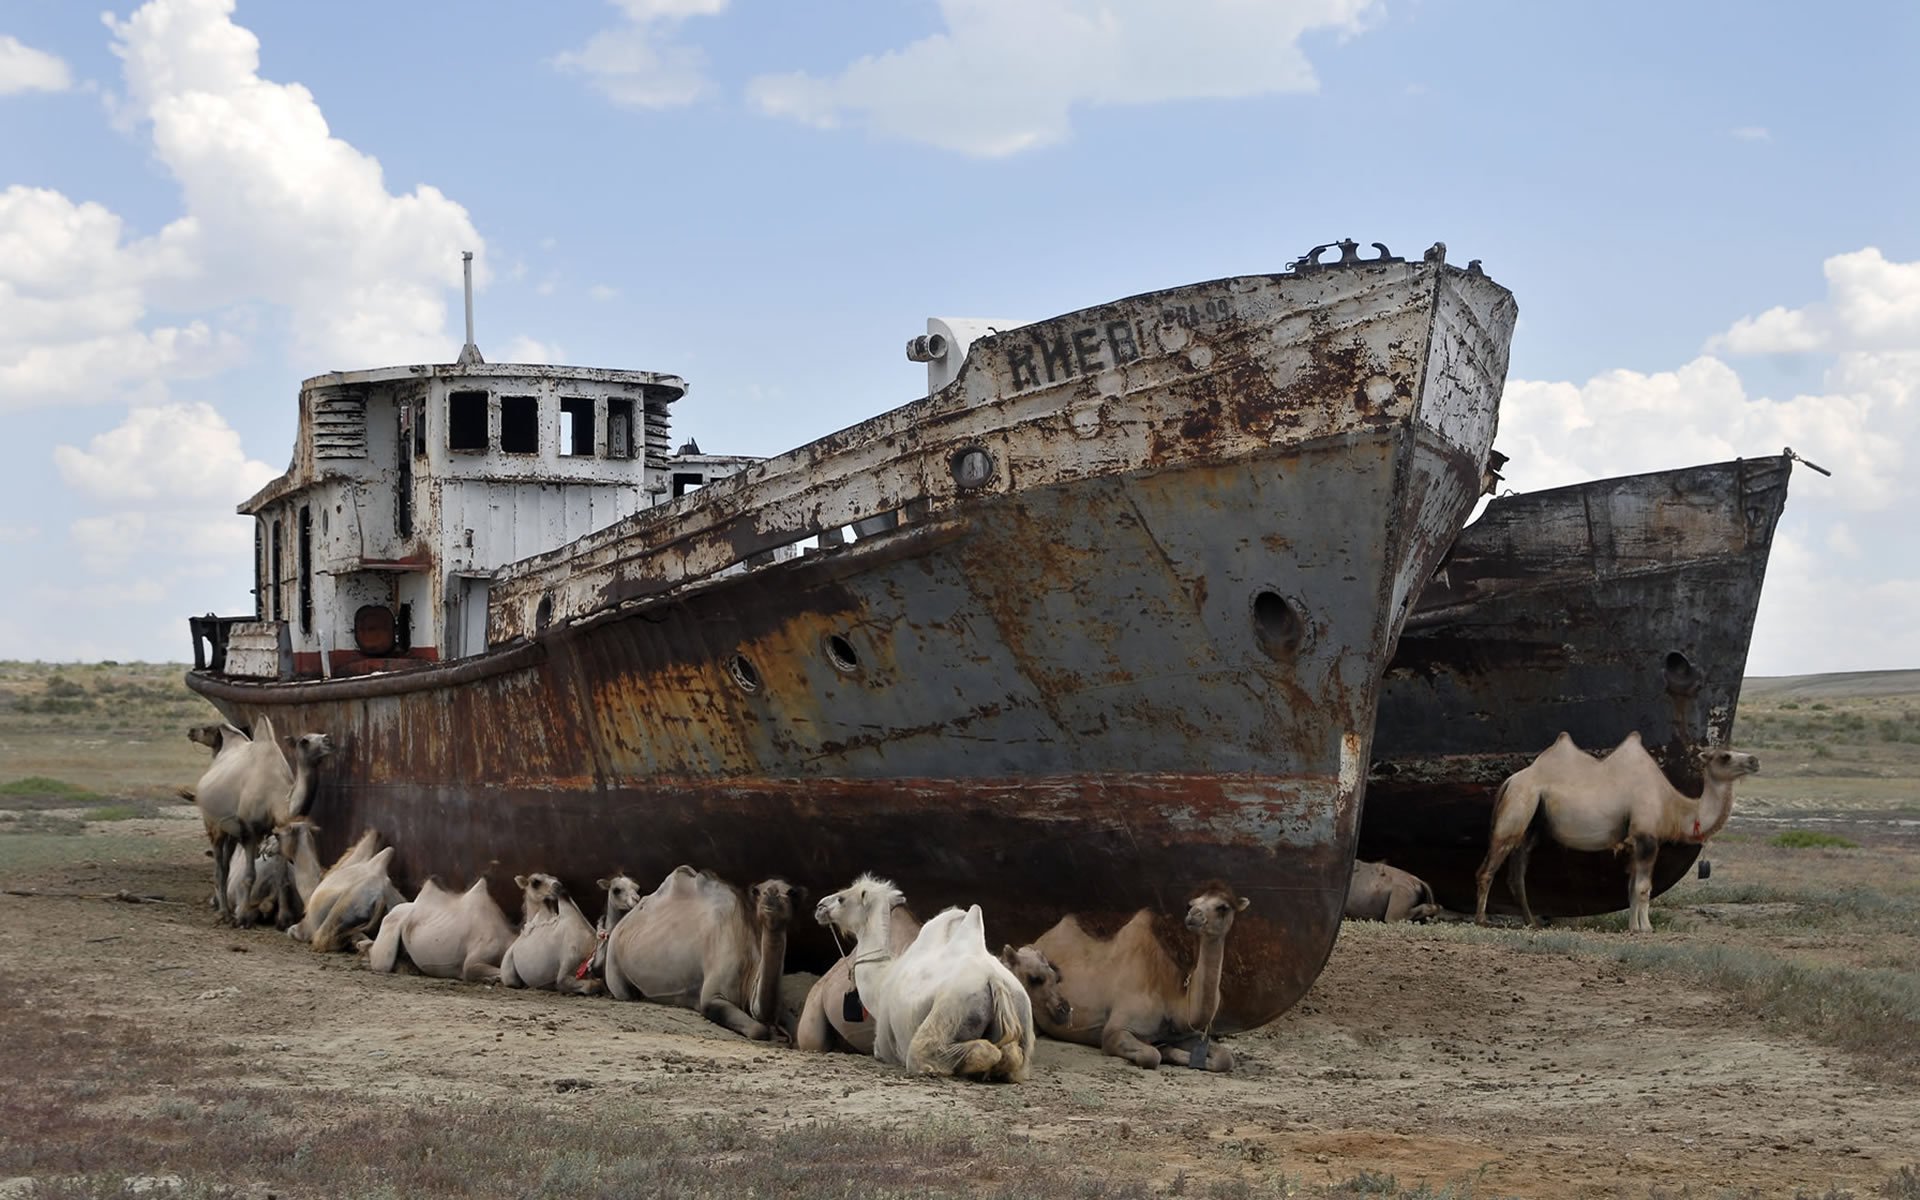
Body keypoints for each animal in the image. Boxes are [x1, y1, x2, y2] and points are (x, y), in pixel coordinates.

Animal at [602, 866, 801, 1041]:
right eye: (759, 890)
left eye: (791, 892)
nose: (773, 895)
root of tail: (619, 925)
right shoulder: (712, 998)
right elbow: (758, 1030)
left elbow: (794, 1023)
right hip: (613, 960)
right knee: (624, 992)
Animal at [814, 875, 1035, 1082]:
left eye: (842, 898)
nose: (819, 906)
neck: (881, 982)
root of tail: (994, 980)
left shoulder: (882, 1044)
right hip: (1022, 1013)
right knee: (1012, 1054)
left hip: (950, 1009)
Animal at [1032, 882, 1249, 1072]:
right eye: (1190, 904)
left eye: (1223, 907)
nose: (1193, 915)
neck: (1171, 997)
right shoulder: (1115, 1030)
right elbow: (1151, 1055)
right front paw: (1164, 1050)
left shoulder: (1182, 1033)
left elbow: (1225, 1058)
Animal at [1475, 732, 1760, 933]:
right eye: (1724, 756)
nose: (1754, 760)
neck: (1672, 805)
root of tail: (1510, 781)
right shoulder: (1646, 837)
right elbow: (1644, 887)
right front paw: (1645, 928)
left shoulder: (1635, 842)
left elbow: (1632, 887)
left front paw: (1634, 926)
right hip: (1518, 807)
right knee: (1488, 868)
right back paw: (1482, 920)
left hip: (1533, 823)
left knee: (1517, 872)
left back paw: (1530, 921)